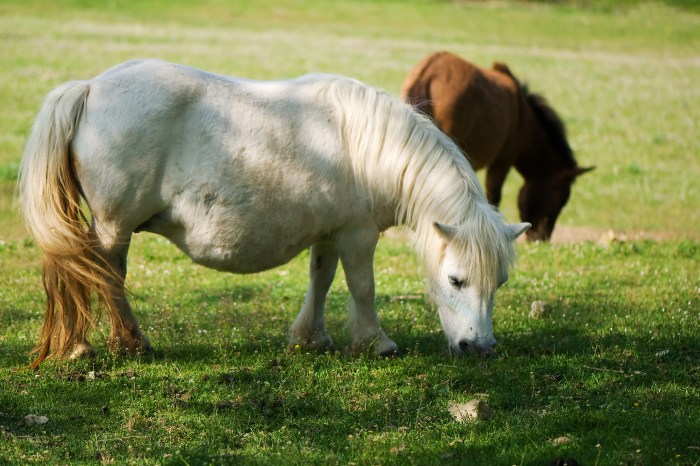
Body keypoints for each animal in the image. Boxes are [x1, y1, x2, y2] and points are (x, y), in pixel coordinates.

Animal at [17, 58, 524, 366]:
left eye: (499, 282)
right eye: (456, 280)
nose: (480, 347)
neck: (366, 149)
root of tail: (89, 88)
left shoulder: (330, 233)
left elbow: (321, 280)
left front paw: (311, 337)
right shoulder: (358, 235)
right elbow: (362, 288)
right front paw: (376, 343)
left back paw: (84, 345)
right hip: (114, 226)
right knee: (105, 278)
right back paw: (128, 343)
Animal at [402, 52, 592, 240]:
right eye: (562, 200)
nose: (541, 238)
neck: (524, 116)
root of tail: (428, 74)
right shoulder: (502, 161)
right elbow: (493, 198)